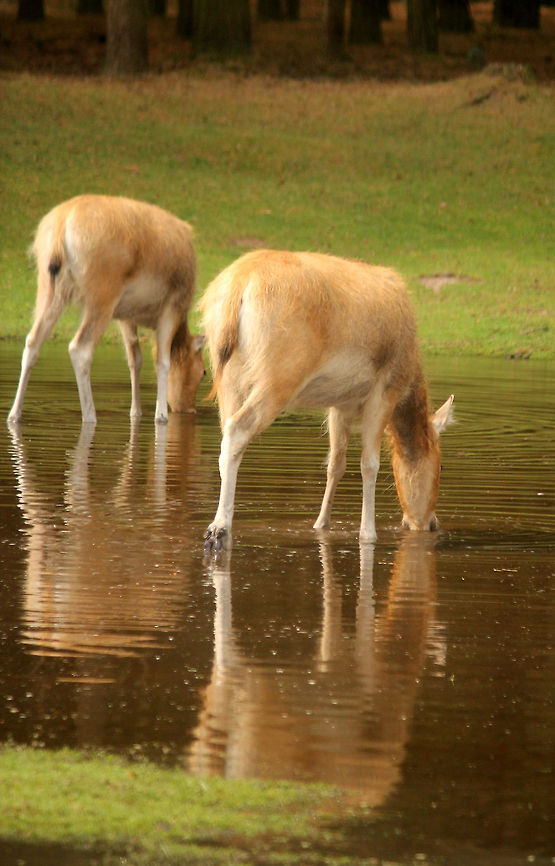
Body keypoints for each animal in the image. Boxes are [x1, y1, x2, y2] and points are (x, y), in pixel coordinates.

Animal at [7, 195, 205, 427]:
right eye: (203, 372)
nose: (190, 409)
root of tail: (61, 223)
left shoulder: (125, 316)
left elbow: (135, 359)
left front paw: (135, 412)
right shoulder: (172, 306)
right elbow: (162, 361)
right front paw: (161, 415)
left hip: (49, 288)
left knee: (32, 341)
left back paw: (14, 414)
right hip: (102, 294)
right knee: (80, 348)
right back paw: (90, 415)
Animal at [200, 249, 454, 554]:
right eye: (441, 466)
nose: (431, 523)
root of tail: (238, 284)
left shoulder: (339, 403)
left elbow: (335, 463)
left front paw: (321, 524)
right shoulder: (384, 390)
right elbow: (369, 463)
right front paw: (368, 534)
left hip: (226, 374)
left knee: (226, 433)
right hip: (280, 373)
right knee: (238, 429)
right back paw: (219, 529)